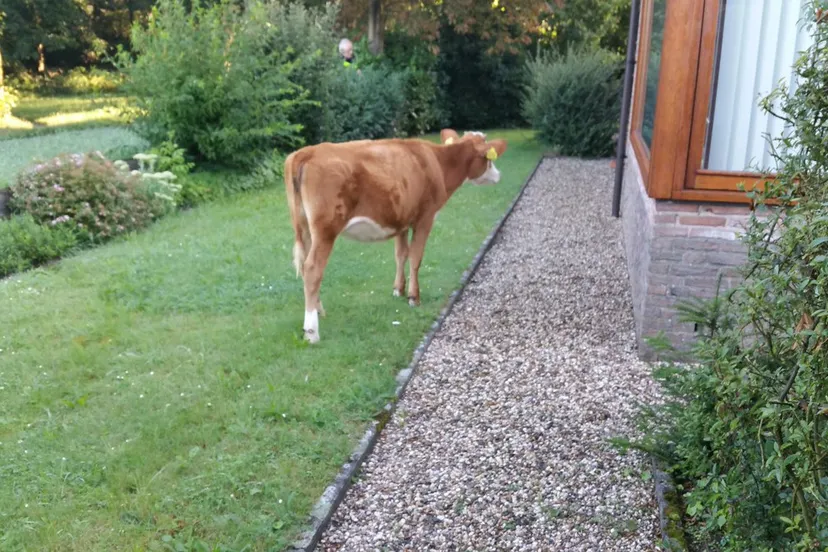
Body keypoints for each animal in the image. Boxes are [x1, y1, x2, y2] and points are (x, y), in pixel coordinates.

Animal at [283, 129, 508, 343]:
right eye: (489, 159)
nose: (498, 175)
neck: (438, 163)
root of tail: (308, 151)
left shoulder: (402, 222)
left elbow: (401, 255)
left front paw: (398, 290)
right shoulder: (425, 218)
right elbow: (416, 257)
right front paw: (413, 297)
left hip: (305, 228)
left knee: (306, 266)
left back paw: (319, 311)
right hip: (326, 230)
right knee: (313, 269)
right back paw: (312, 331)